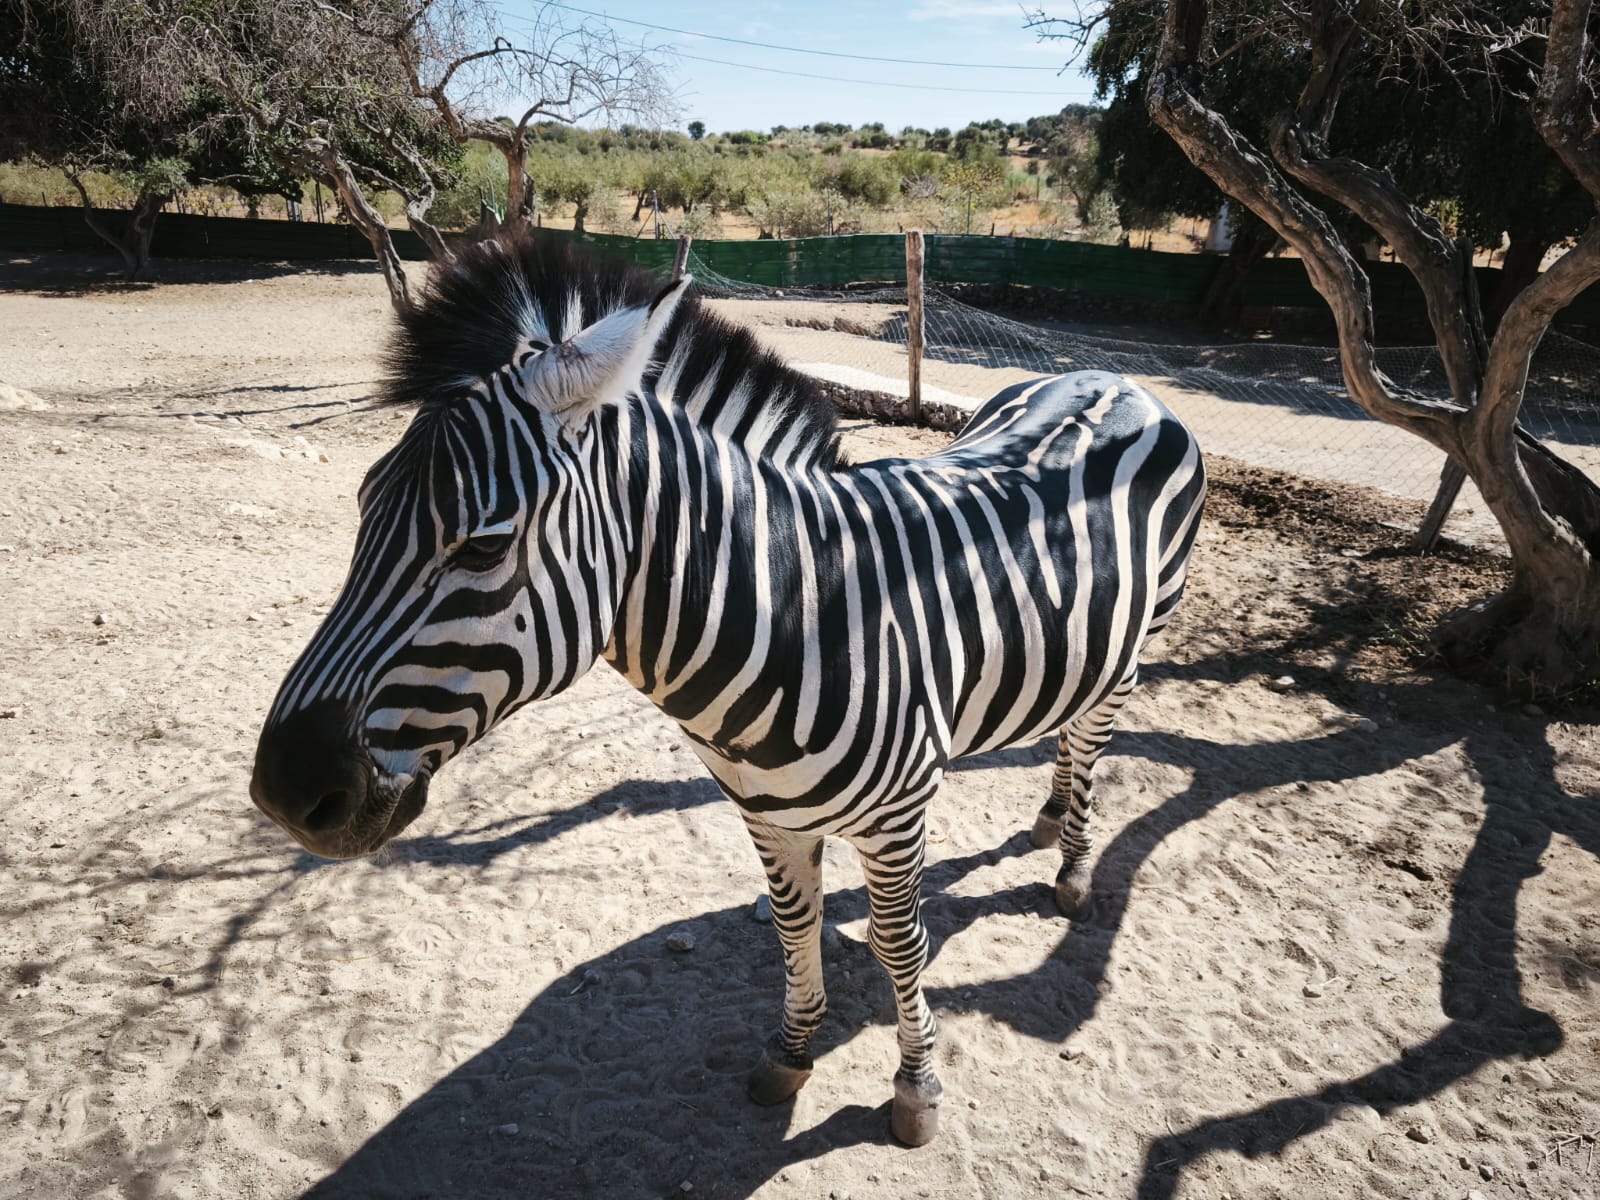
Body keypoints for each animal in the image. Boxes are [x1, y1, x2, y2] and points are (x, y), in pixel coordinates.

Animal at [250, 233, 1206, 1146]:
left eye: (484, 546)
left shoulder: (899, 813)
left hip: (1137, 646)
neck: (799, 613)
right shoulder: (764, 812)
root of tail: (1114, 379)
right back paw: (1047, 818)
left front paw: (916, 1088)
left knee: (1090, 740)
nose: (284, 793)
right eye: (362, 506)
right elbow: (794, 926)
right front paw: (791, 1051)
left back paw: (1073, 863)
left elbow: (901, 945)